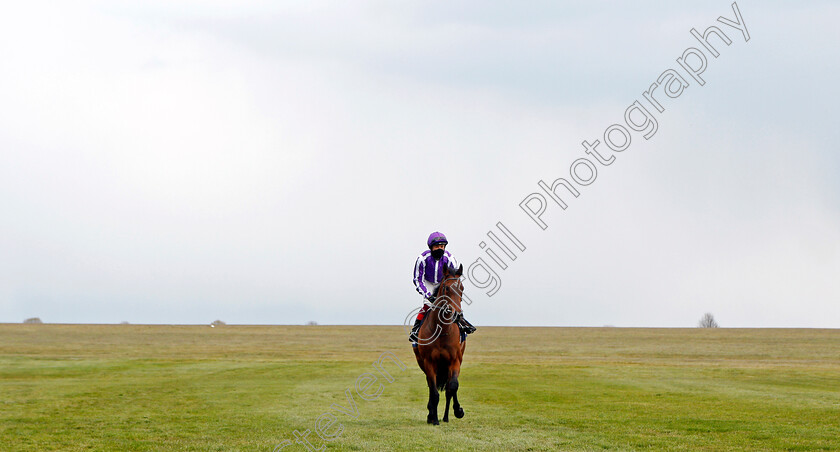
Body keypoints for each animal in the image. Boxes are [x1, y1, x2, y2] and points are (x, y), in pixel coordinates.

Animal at [412, 264, 466, 426]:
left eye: (462, 288)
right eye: (447, 288)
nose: (457, 314)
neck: (442, 331)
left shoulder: (455, 360)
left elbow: (452, 386)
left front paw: (458, 411)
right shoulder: (429, 362)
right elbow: (434, 391)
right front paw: (434, 418)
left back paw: (446, 416)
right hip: (423, 363)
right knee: (431, 387)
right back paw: (431, 415)